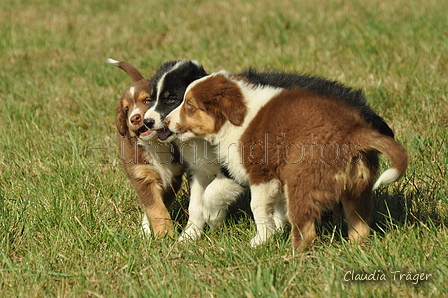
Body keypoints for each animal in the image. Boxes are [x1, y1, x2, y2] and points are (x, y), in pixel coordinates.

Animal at [108, 58, 186, 237]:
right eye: (126, 109)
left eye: (147, 100)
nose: (134, 118)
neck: (156, 144)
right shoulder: (142, 176)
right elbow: (155, 207)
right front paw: (164, 234)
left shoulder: (174, 176)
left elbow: (161, 204)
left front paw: (163, 233)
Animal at [165, 70, 410, 249]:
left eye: (189, 105)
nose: (166, 121)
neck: (239, 114)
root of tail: (354, 134)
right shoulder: (273, 178)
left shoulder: (261, 173)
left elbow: (254, 206)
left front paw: (260, 240)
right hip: (357, 190)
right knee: (360, 227)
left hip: (303, 184)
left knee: (306, 230)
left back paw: (291, 256)